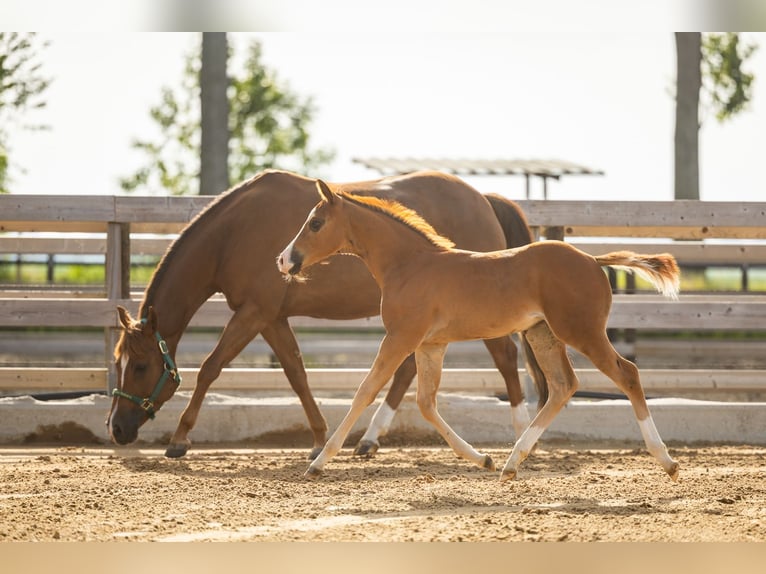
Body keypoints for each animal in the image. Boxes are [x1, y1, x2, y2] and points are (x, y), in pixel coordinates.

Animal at [107, 169, 543, 460]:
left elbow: (211, 367)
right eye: (118, 362)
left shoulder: (254, 313)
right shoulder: (272, 318)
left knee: (506, 359)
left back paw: (523, 434)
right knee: (407, 370)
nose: (117, 428)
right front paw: (319, 439)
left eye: (141, 366)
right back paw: (369, 438)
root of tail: (485, 199)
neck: (233, 234)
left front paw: (180, 438)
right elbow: (296, 373)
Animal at [277, 180, 681, 482]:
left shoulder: (400, 338)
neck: (410, 264)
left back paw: (666, 460)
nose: (283, 260)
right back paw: (510, 463)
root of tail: (592, 260)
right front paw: (482, 458)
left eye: (315, 222)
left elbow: (365, 391)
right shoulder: (430, 345)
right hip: (543, 334)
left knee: (627, 374)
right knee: (563, 386)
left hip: (581, 332)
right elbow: (425, 402)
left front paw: (318, 462)